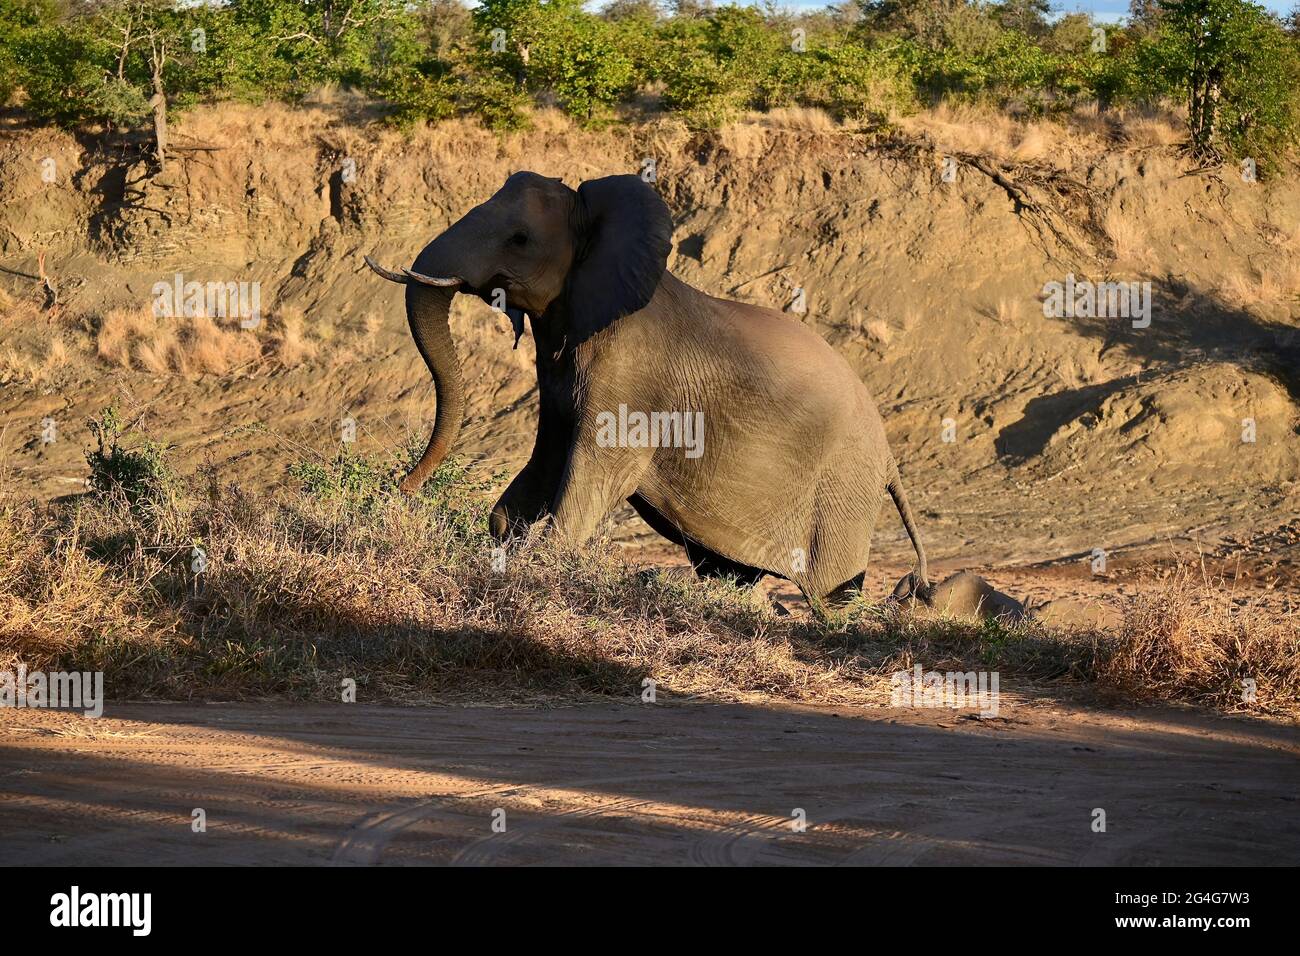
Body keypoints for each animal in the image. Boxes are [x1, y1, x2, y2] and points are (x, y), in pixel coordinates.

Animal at [366, 170, 930, 606]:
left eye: (520, 239)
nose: (401, 491)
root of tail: (889, 458)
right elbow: (548, 454)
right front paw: (506, 541)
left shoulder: (629, 373)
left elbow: (596, 465)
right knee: (729, 571)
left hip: (842, 492)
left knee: (831, 595)